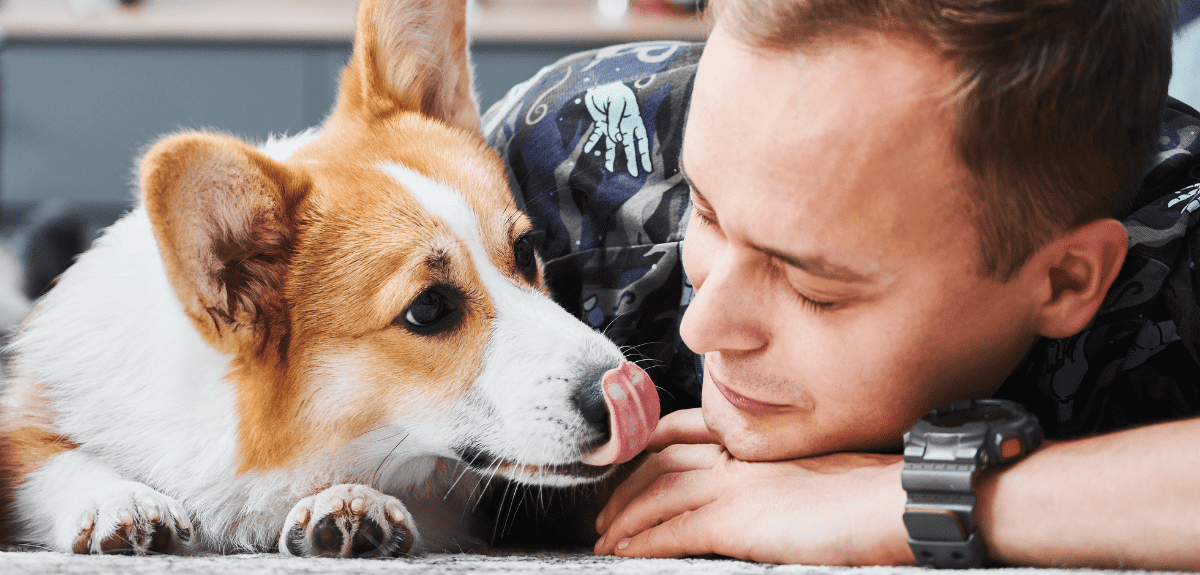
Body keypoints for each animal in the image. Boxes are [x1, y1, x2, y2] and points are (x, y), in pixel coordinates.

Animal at [0, 0, 657, 556]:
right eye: (427, 309)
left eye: (524, 252)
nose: (633, 391)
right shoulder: (24, 413)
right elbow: (48, 457)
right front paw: (121, 500)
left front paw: (349, 502)